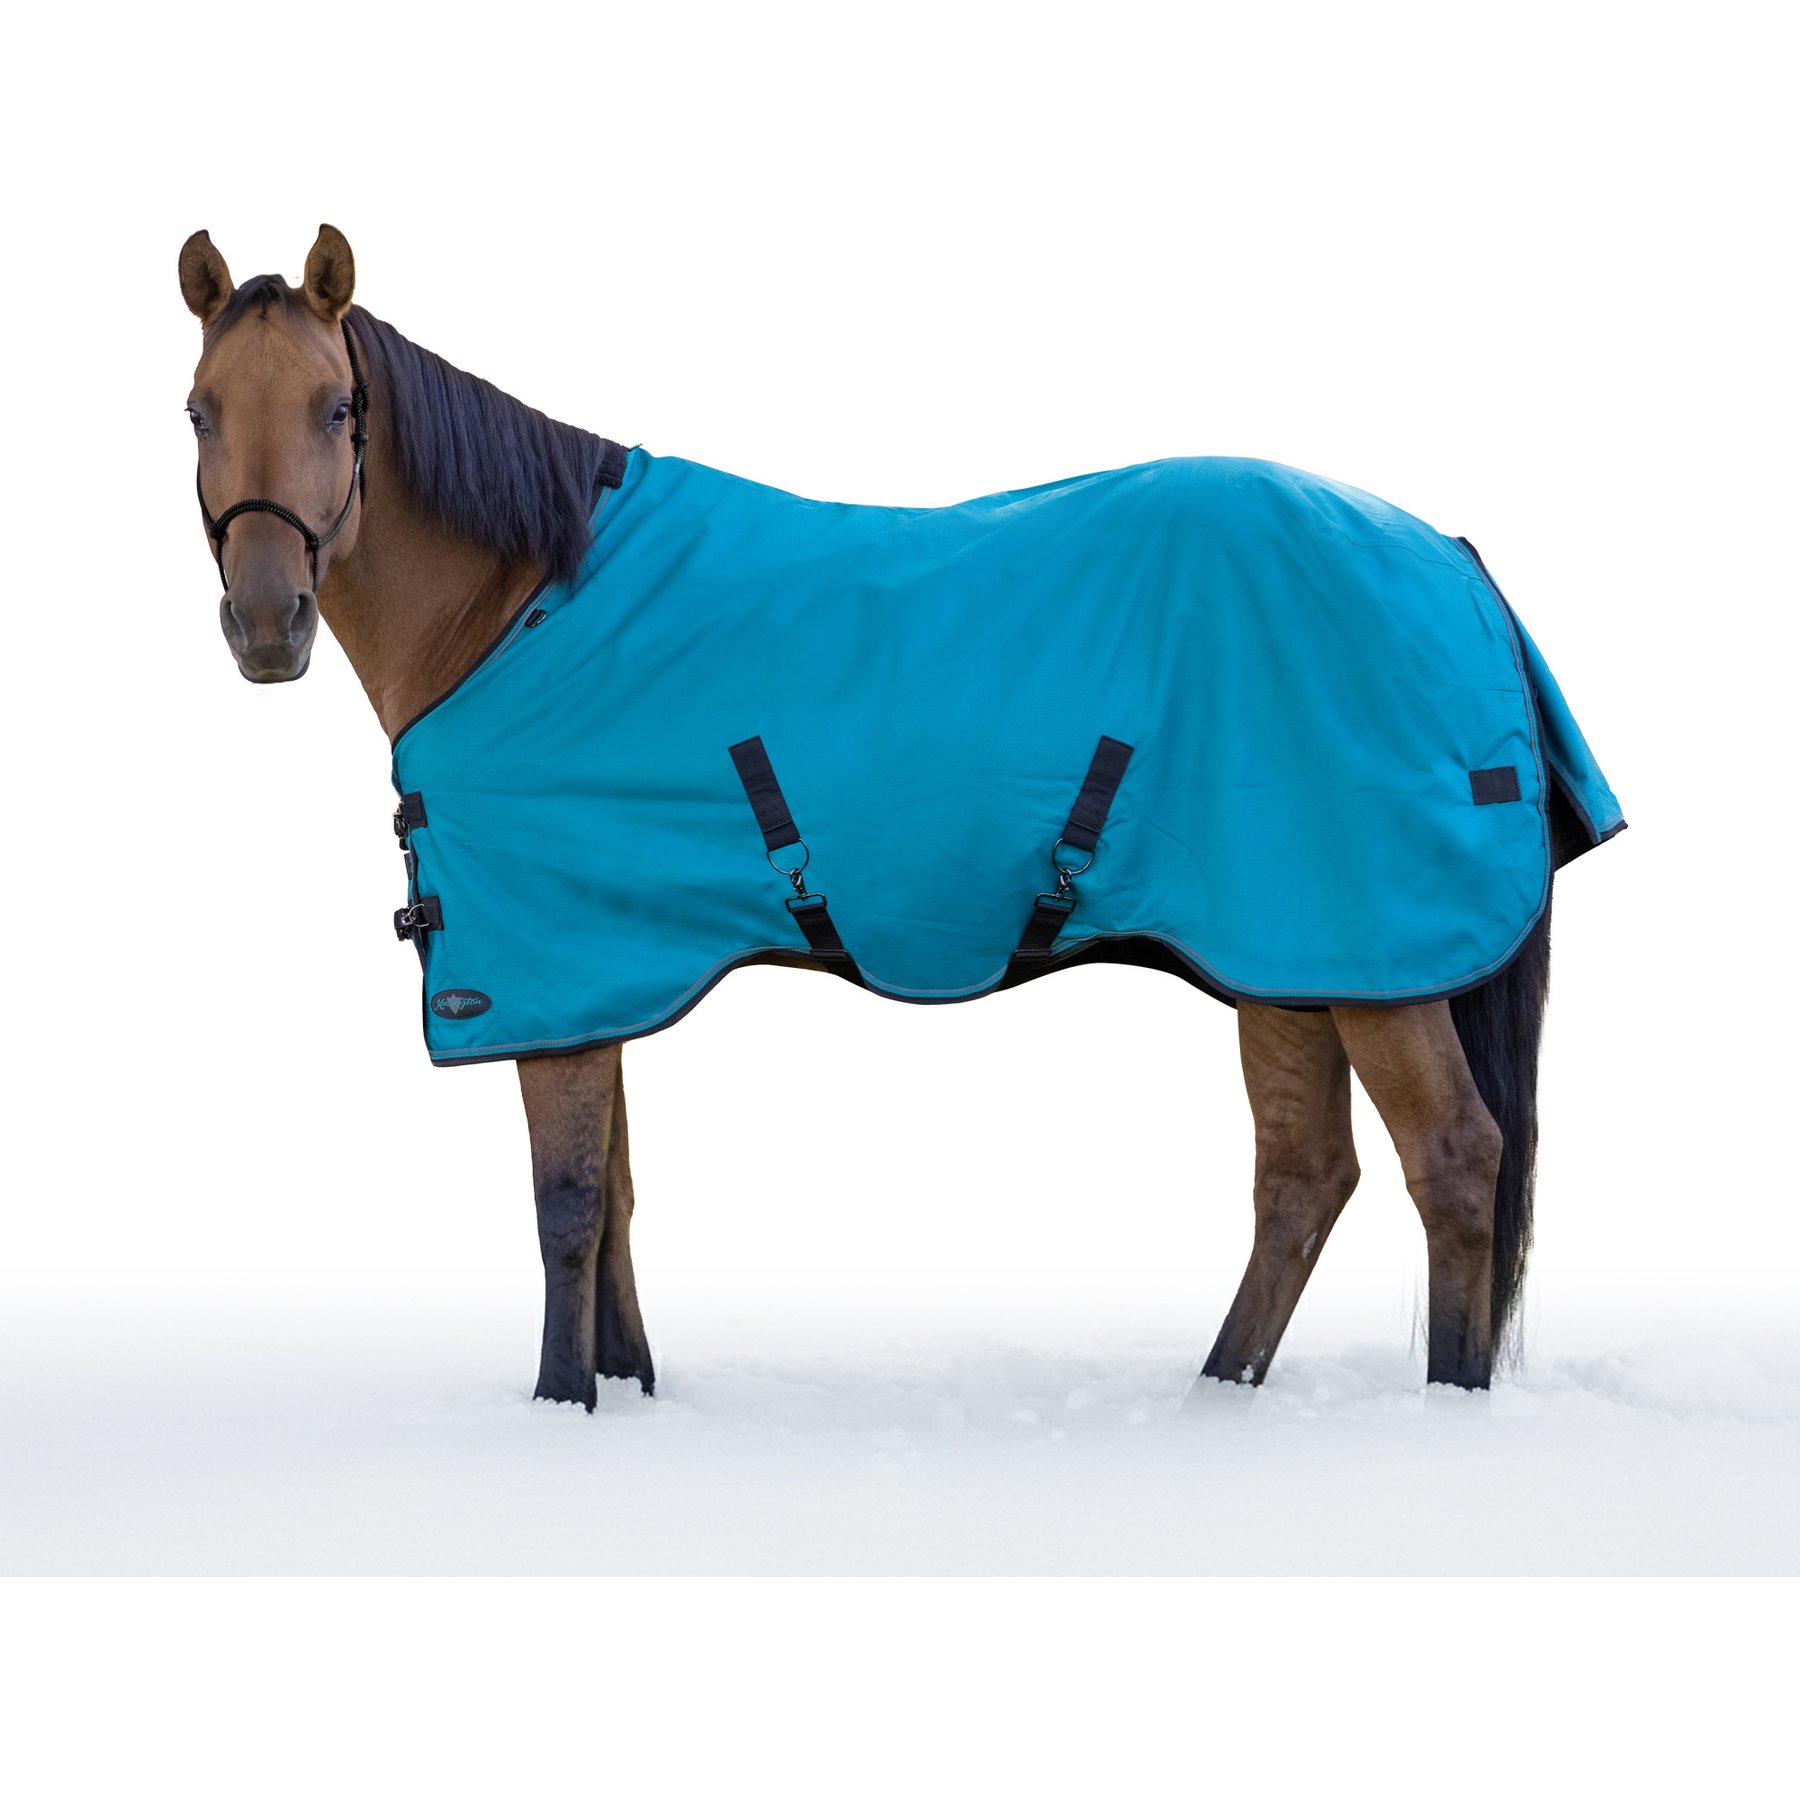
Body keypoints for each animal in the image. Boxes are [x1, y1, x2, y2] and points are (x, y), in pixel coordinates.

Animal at [177, 223, 1620, 1409]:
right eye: (198, 410)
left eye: (338, 406)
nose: (266, 625)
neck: (520, 609)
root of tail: (1451, 559)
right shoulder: (609, 967)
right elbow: (622, 1199)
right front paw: (628, 1397)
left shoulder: (555, 966)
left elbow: (568, 1203)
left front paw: (559, 1406)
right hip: (1291, 959)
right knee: (1304, 1176)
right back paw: (1220, 1397)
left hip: (1370, 956)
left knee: (1453, 1162)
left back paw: (1443, 1412)